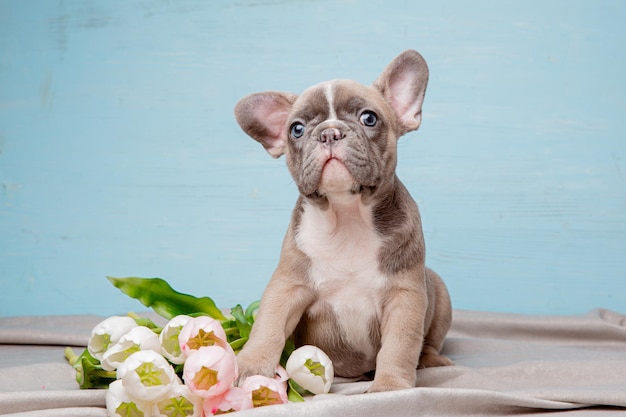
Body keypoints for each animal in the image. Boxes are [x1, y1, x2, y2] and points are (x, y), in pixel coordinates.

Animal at [232, 50, 450, 392]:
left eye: (369, 118)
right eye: (296, 129)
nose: (329, 132)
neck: (346, 215)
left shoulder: (405, 297)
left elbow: (399, 345)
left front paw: (390, 386)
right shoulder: (288, 286)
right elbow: (268, 326)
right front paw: (250, 366)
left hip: (440, 293)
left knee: (428, 342)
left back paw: (430, 360)